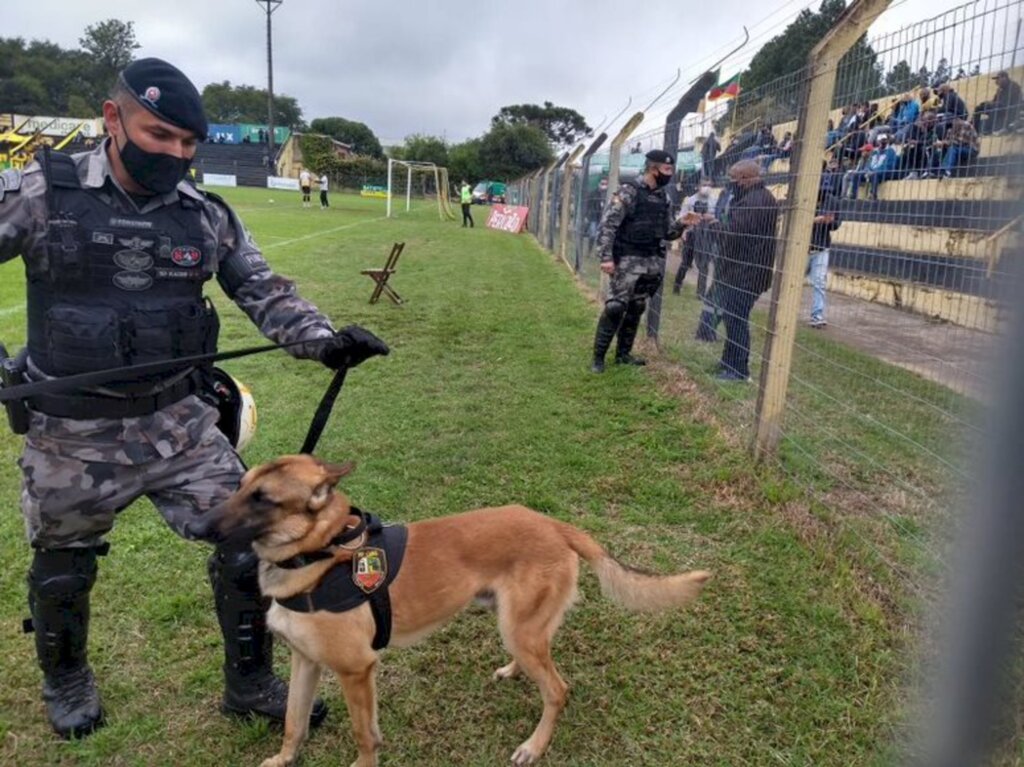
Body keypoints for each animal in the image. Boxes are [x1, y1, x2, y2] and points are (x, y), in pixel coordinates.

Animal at [192, 454, 708, 765]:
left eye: (263, 500)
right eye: (240, 486)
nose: (197, 525)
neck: (318, 555)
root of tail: (555, 525)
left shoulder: (356, 670)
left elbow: (362, 733)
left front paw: (365, 759)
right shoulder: (306, 662)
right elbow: (294, 722)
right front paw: (284, 758)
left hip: (519, 629)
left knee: (558, 690)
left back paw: (534, 745)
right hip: (516, 625)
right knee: (538, 661)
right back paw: (513, 671)